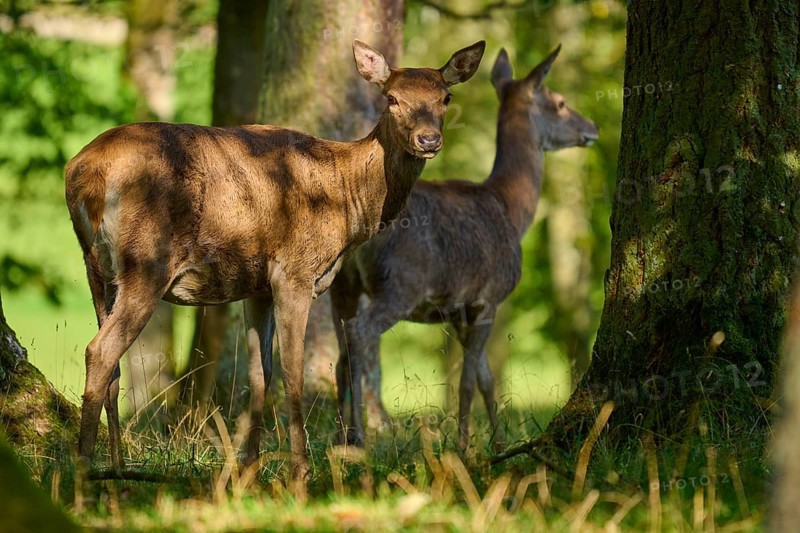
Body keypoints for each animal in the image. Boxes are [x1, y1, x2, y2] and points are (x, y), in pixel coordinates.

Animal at [64, 39, 485, 495]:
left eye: (445, 97)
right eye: (391, 98)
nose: (429, 139)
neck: (347, 202)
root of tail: (83, 174)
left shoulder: (257, 287)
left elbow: (260, 372)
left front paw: (247, 471)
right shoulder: (294, 272)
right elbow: (293, 372)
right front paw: (299, 473)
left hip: (96, 267)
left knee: (110, 363)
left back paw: (117, 473)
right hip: (147, 260)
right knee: (100, 350)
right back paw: (84, 478)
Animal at [331, 46, 599, 451]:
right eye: (560, 102)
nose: (592, 128)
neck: (511, 210)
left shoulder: (457, 310)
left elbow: (487, 379)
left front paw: (500, 444)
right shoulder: (489, 296)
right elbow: (469, 380)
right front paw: (464, 447)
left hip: (341, 284)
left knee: (339, 351)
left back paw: (339, 435)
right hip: (401, 285)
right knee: (360, 333)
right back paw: (359, 435)